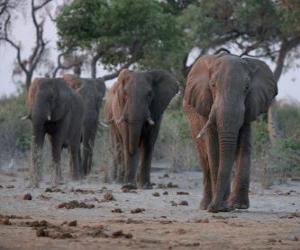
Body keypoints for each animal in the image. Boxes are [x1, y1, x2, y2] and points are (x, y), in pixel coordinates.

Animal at [182, 50, 278, 213]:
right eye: (212, 85)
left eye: (246, 88)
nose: (216, 208)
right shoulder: (206, 105)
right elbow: (214, 150)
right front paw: (220, 207)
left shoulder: (249, 107)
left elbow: (244, 146)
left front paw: (238, 206)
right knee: (204, 159)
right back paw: (205, 205)